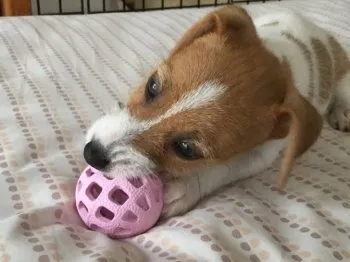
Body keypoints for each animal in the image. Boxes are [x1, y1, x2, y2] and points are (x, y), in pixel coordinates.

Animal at [82, 5, 350, 218]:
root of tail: (316, 29)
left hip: (345, 77)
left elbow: (222, 170)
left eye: (186, 149)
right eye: (152, 85)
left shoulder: (263, 155)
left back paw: (341, 113)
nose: (91, 153)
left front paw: (185, 189)